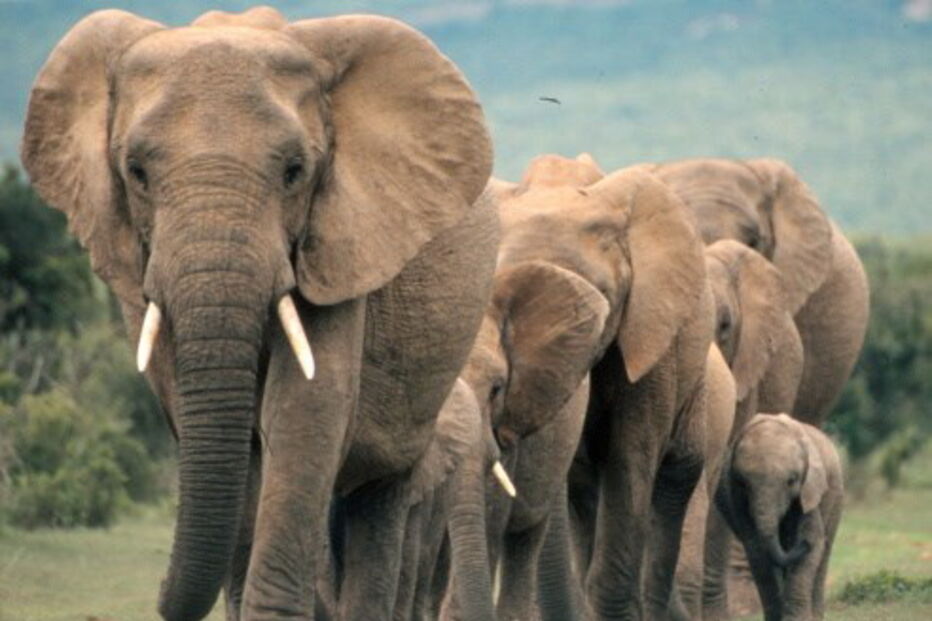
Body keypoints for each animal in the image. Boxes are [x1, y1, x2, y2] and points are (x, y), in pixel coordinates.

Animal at [22, 7, 498, 620]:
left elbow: (305, 409)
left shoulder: (341, 241)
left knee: (381, 497)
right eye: (136, 172)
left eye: (295, 171)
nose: (158, 595)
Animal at [715, 414, 844, 621]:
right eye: (743, 483)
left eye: (792, 481)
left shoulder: (810, 490)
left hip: (836, 495)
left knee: (823, 554)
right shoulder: (737, 501)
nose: (804, 544)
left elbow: (813, 545)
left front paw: (795, 619)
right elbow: (757, 551)